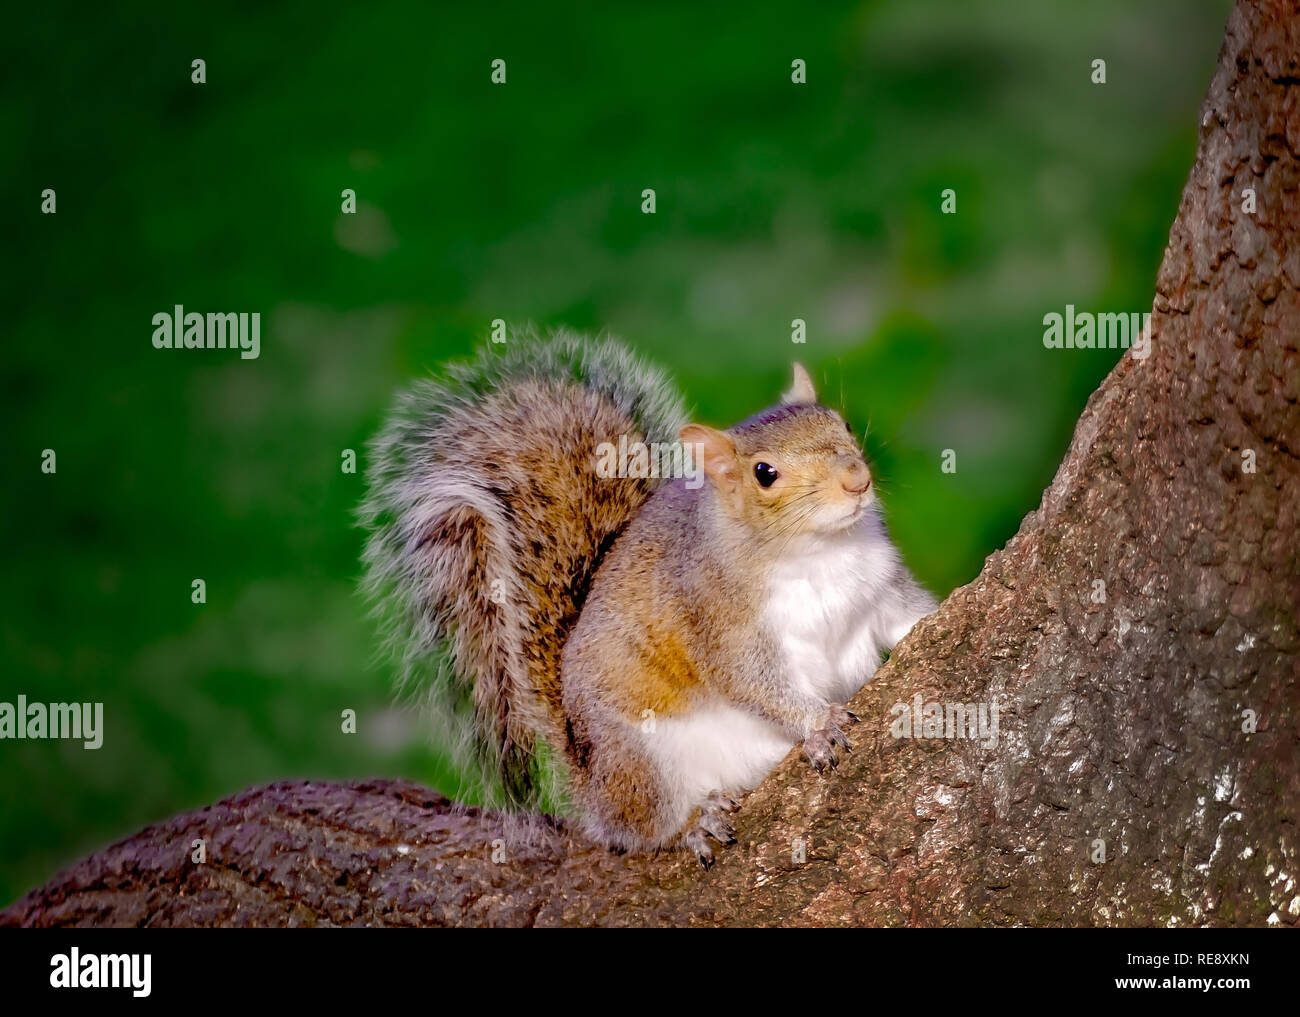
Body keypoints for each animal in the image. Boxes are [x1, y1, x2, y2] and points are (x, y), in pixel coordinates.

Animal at [361, 329, 941, 868]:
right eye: (765, 474)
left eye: (842, 425)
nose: (857, 480)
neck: (820, 551)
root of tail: (590, 782)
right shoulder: (716, 617)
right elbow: (753, 681)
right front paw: (817, 723)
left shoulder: (879, 585)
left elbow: (906, 615)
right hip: (641, 761)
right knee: (640, 829)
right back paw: (690, 824)